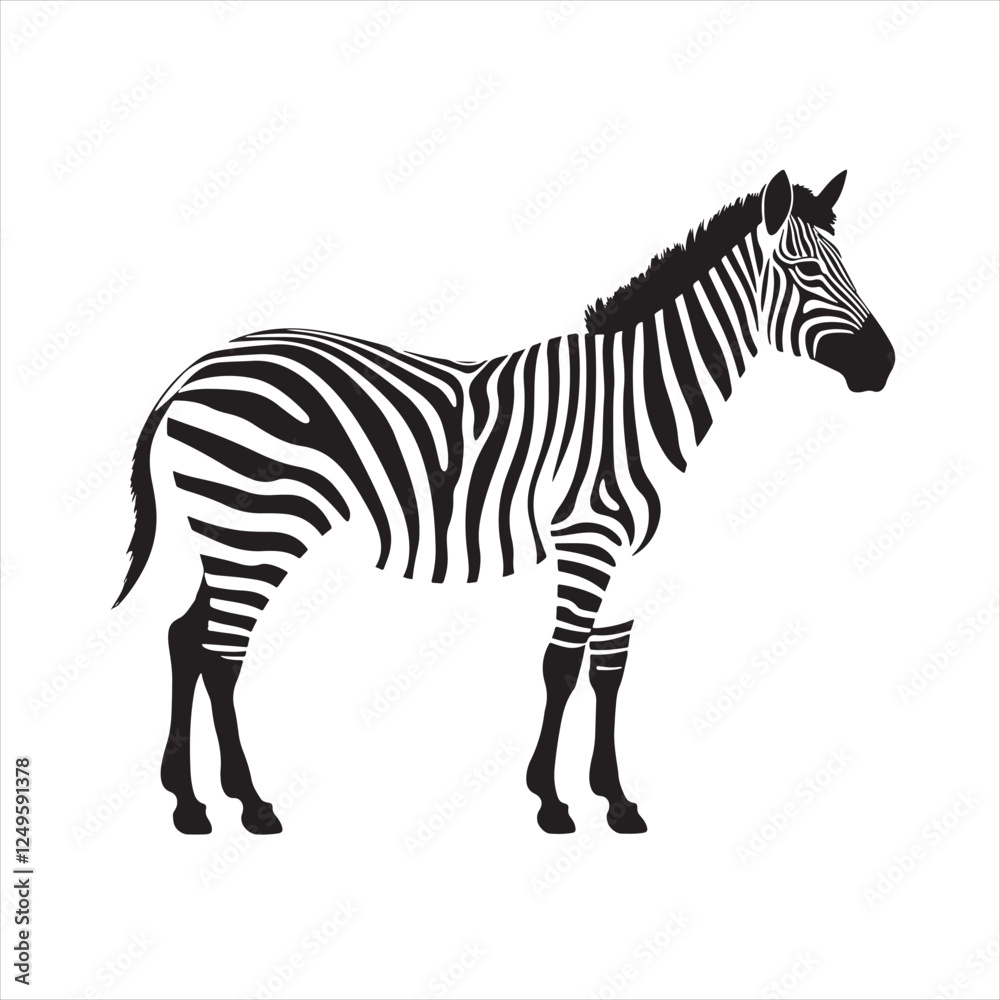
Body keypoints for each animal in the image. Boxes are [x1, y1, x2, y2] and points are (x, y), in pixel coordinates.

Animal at [114, 169, 894, 837]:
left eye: (846, 265)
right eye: (806, 272)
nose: (884, 364)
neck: (636, 402)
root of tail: (193, 371)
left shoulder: (629, 555)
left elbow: (610, 670)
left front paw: (616, 801)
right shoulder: (587, 540)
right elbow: (561, 664)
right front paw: (551, 801)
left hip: (231, 536)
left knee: (186, 636)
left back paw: (188, 802)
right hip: (254, 528)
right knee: (221, 653)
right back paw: (250, 804)